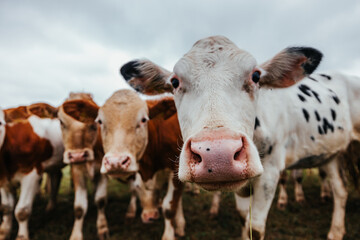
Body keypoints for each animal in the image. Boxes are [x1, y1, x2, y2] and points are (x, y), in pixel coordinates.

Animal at [0, 103, 63, 240]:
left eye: (0, 123)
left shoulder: (32, 174)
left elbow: (21, 211)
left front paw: (22, 236)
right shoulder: (2, 179)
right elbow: (6, 208)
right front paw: (4, 232)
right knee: (56, 177)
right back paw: (51, 208)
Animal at [97, 90, 184, 240]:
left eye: (143, 120)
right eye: (100, 121)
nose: (115, 162)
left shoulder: (176, 169)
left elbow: (169, 206)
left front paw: (169, 233)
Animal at [120, 35, 360, 240]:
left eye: (256, 76)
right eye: (175, 82)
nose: (217, 156)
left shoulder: (271, 172)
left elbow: (256, 227)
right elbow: (244, 219)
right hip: (331, 155)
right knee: (340, 190)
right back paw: (336, 231)